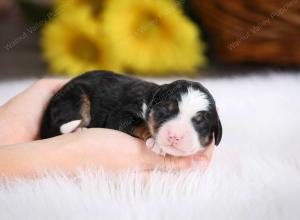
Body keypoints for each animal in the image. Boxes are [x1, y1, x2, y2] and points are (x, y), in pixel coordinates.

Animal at [41, 70, 221, 156]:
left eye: (200, 122)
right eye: (164, 111)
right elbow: (140, 123)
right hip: (75, 96)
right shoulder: (120, 114)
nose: (175, 136)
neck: (150, 100)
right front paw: (155, 143)